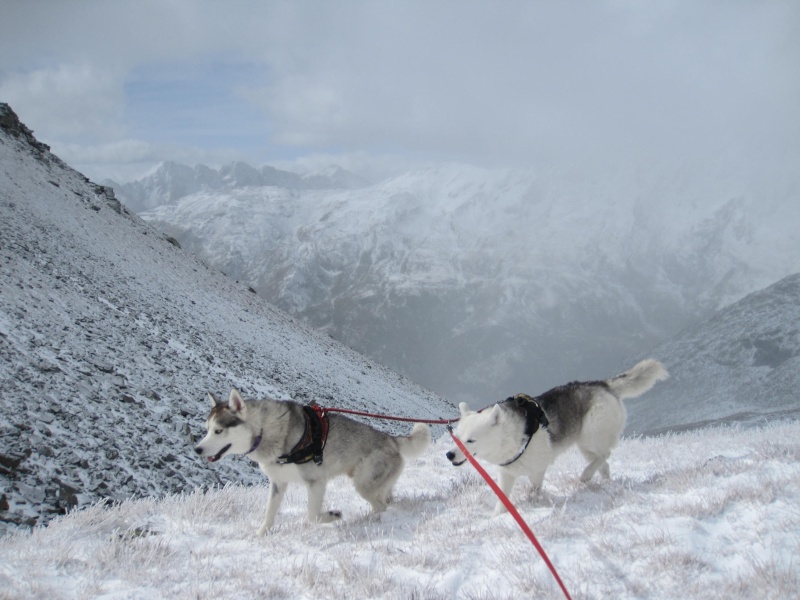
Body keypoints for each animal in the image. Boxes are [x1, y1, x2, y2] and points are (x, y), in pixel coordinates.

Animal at [195, 390, 432, 536]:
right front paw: (261, 534)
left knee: (381, 506)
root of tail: (391, 438)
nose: (197, 449)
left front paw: (333, 515)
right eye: (207, 429)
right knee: (387, 499)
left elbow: (312, 515)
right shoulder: (278, 484)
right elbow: (269, 514)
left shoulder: (316, 481)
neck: (265, 432)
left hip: (363, 484)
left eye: (218, 431)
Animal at [446, 358, 664, 512]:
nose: (449, 455)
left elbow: (534, 490)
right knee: (604, 462)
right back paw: (602, 480)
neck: (511, 437)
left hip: (591, 436)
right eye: (457, 437)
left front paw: (534, 502)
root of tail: (602, 384)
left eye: (470, 440)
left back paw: (586, 475)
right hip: (585, 446)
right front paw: (498, 517)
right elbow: (502, 502)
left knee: (605, 454)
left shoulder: (537, 471)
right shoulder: (506, 474)